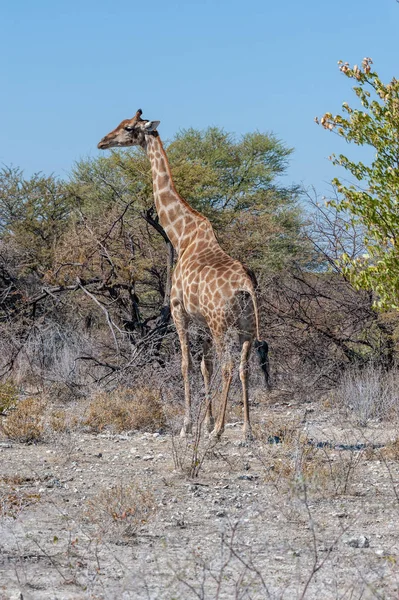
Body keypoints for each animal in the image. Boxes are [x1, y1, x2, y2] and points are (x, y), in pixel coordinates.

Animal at [98, 109, 270, 440]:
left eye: (128, 128)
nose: (102, 141)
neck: (181, 235)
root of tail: (246, 286)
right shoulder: (200, 320)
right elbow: (205, 366)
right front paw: (205, 421)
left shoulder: (179, 311)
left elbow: (186, 365)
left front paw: (190, 426)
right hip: (246, 327)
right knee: (244, 367)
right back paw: (247, 430)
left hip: (222, 324)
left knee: (229, 367)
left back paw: (220, 431)